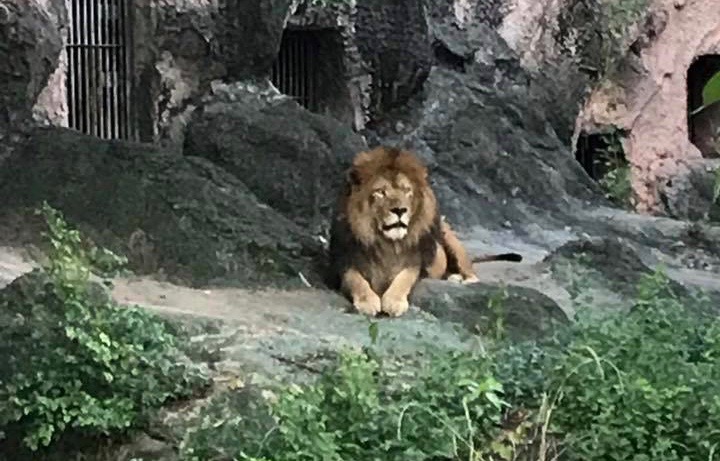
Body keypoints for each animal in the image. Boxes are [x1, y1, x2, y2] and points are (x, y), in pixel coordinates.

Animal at [328, 147, 524, 316]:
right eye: (381, 192)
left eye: (407, 190)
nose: (400, 210)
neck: (387, 243)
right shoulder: (345, 263)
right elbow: (356, 280)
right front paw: (367, 302)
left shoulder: (415, 263)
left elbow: (404, 279)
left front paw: (394, 302)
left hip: (450, 239)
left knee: (471, 273)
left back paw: (458, 279)